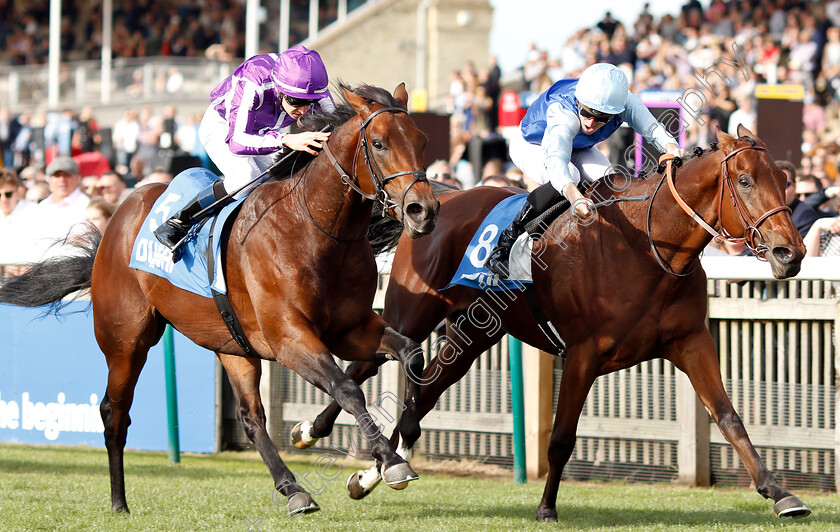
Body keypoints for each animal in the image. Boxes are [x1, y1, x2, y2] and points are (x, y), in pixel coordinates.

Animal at [1, 82, 440, 516]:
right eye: (379, 143)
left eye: (422, 140)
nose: (424, 210)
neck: (314, 228)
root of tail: (115, 222)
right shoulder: (290, 339)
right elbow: (347, 389)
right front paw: (392, 462)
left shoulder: (349, 329)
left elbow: (411, 353)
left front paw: (402, 439)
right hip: (126, 341)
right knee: (114, 412)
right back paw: (119, 502)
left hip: (232, 345)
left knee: (251, 417)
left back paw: (293, 490)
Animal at [296, 127, 812, 520]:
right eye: (744, 180)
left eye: (784, 178)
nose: (791, 252)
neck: (649, 247)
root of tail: (441, 195)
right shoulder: (583, 354)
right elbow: (562, 438)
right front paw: (546, 507)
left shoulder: (691, 341)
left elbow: (729, 417)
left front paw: (781, 494)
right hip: (414, 311)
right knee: (367, 364)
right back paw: (312, 431)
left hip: (472, 335)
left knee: (422, 395)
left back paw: (371, 475)